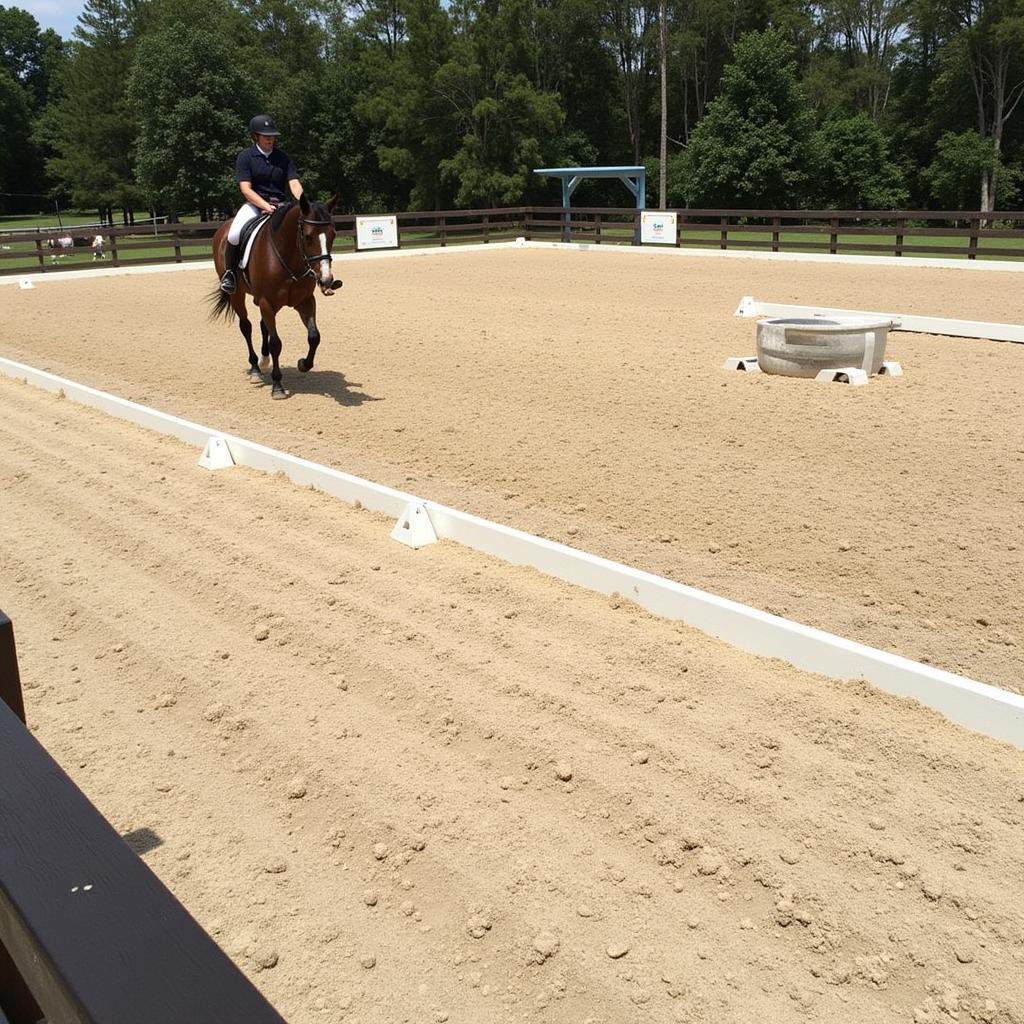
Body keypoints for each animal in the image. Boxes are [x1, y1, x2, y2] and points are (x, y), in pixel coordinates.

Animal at [209, 195, 342, 399]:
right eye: (307, 236)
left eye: (333, 234)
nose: (326, 280)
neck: (289, 256)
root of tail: (223, 228)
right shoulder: (267, 302)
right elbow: (275, 343)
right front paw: (277, 386)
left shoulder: (305, 301)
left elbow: (314, 336)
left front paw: (303, 364)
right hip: (238, 295)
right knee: (246, 327)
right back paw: (255, 369)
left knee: (263, 325)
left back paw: (263, 361)